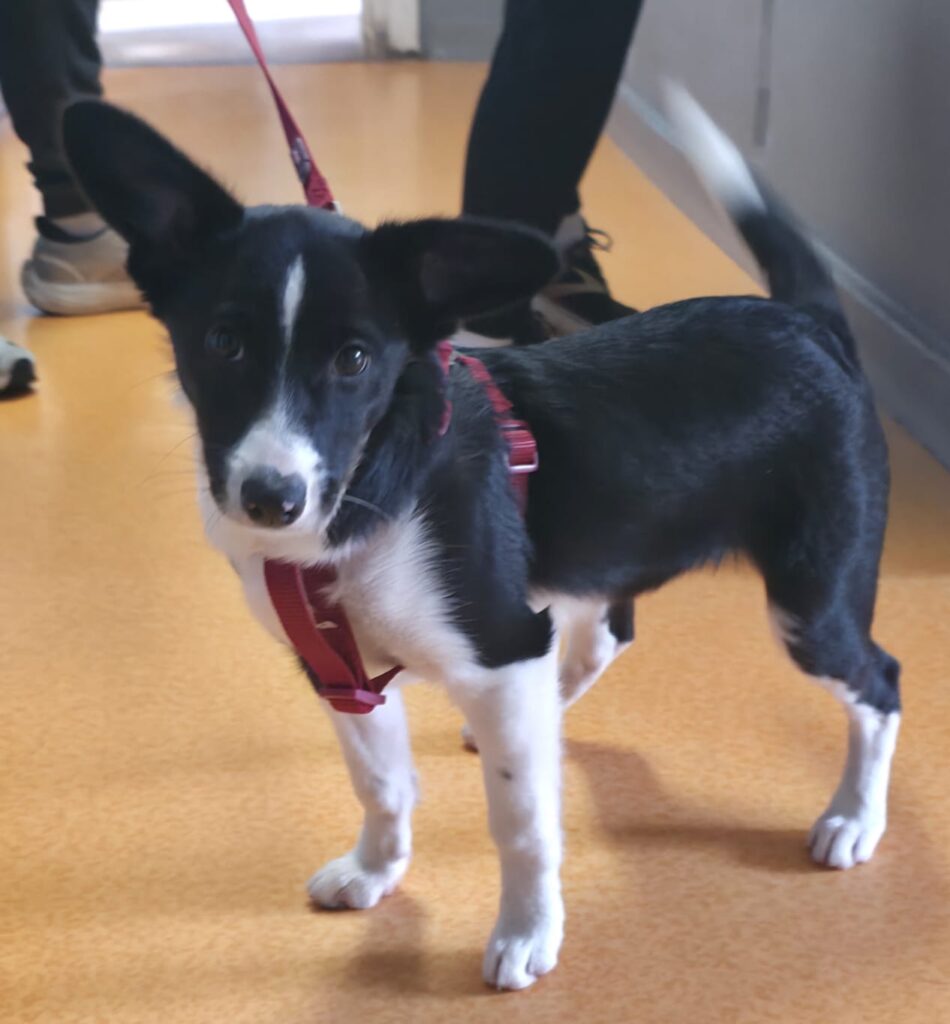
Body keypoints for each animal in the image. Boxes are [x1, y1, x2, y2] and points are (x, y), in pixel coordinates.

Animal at [62, 87, 900, 991]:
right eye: (222, 344)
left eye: (355, 359)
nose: (271, 499)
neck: (370, 488)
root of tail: (809, 324)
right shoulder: (343, 676)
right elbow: (382, 784)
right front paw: (376, 870)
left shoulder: (500, 647)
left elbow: (522, 822)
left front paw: (528, 932)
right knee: (604, 635)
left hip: (810, 602)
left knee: (879, 684)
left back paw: (854, 817)